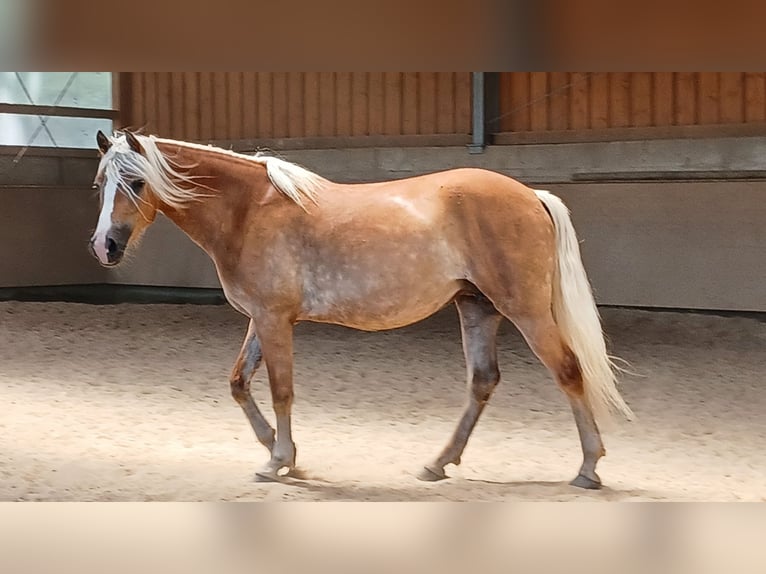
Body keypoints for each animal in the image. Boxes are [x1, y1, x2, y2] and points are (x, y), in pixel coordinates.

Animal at [90, 130, 632, 490]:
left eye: (136, 182)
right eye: (101, 184)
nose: (105, 246)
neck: (249, 210)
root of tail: (532, 195)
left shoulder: (274, 319)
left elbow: (281, 392)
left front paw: (278, 461)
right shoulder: (261, 320)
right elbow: (239, 383)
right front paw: (282, 453)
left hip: (525, 310)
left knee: (568, 371)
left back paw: (588, 468)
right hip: (478, 308)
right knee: (483, 382)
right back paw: (437, 464)